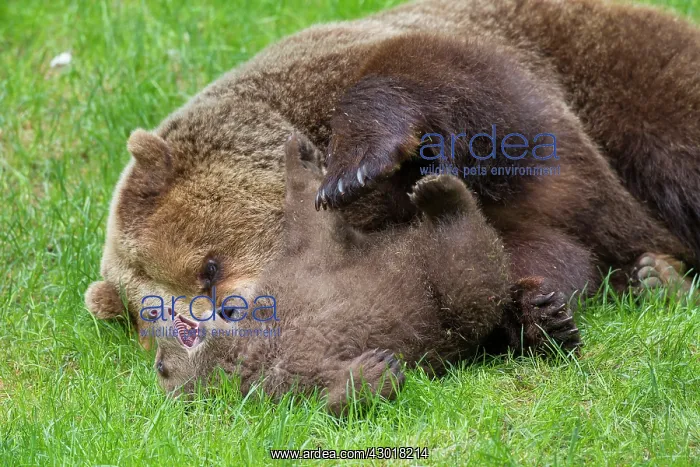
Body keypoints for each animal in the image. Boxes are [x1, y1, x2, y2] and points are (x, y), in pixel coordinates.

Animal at [85, 0, 700, 347]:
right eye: (172, 316)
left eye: (208, 267)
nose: (238, 312)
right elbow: (530, 253)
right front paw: (537, 312)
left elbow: (453, 86)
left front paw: (354, 167)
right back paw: (652, 275)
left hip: (625, 72)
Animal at [152, 133, 580, 414]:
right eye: (160, 367)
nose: (163, 311)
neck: (244, 339)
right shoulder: (273, 379)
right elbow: (319, 398)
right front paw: (376, 371)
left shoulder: (299, 267)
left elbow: (309, 223)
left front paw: (301, 154)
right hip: (446, 304)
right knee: (473, 279)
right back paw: (443, 197)